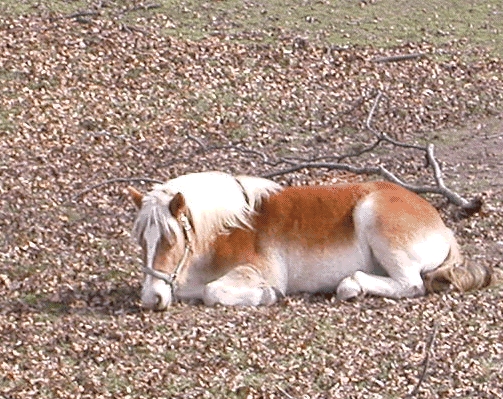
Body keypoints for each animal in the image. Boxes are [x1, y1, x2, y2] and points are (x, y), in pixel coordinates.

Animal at [128, 170, 494, 310]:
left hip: (374, 219)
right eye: (142, 242)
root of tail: (441, 225)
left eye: (170, 240)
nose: (150, 299)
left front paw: (266, 296)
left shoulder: (253, 272)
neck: (225, 229)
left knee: (411, 285)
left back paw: (350, 286)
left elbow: (213, 292)